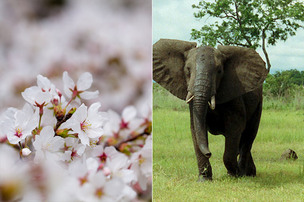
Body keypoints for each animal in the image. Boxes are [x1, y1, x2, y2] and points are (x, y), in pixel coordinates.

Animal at [153, 38, 268, 181]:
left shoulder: (234, 95)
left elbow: (235, 127)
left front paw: (234, 175)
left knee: (248, 136)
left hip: (259, 104)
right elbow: (196, 127)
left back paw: (245, 174)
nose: (209, 153)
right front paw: (204, 180)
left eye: (219, 71)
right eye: (188, 70)